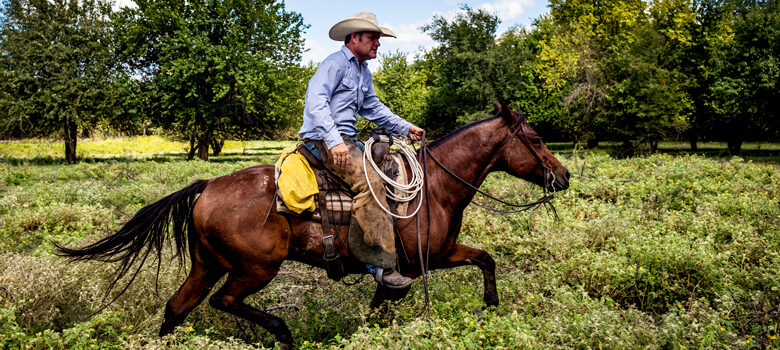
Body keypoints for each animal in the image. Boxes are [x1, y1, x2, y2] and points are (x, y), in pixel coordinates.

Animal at [54, 105, 568, 348]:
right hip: (254, 269)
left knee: (176, 308)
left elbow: (483, 259)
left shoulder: (429, 260)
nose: (561, 176)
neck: (434, 189)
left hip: (205, 265)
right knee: (224, 302)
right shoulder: (421, 264)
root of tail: (208, 185)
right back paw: (282, 332)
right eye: (537, 138)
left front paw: (490, 305)